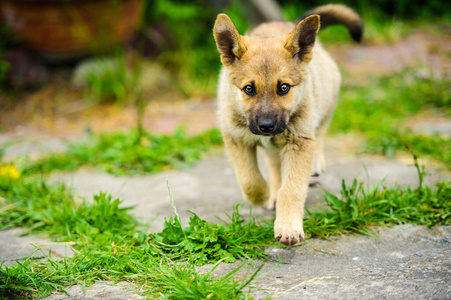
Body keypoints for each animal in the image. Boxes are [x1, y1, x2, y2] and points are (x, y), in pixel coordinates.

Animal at [213, 3, 364, 245]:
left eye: (283, 87)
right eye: (249, 89)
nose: (266, 126)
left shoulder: (299, 142)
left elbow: (292, 189)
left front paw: (288, 227)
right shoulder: (235, 138)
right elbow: (249, 180)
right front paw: (264, 194)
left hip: (325, 104)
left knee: (320, 135)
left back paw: (315, 165)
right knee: (274, 168)